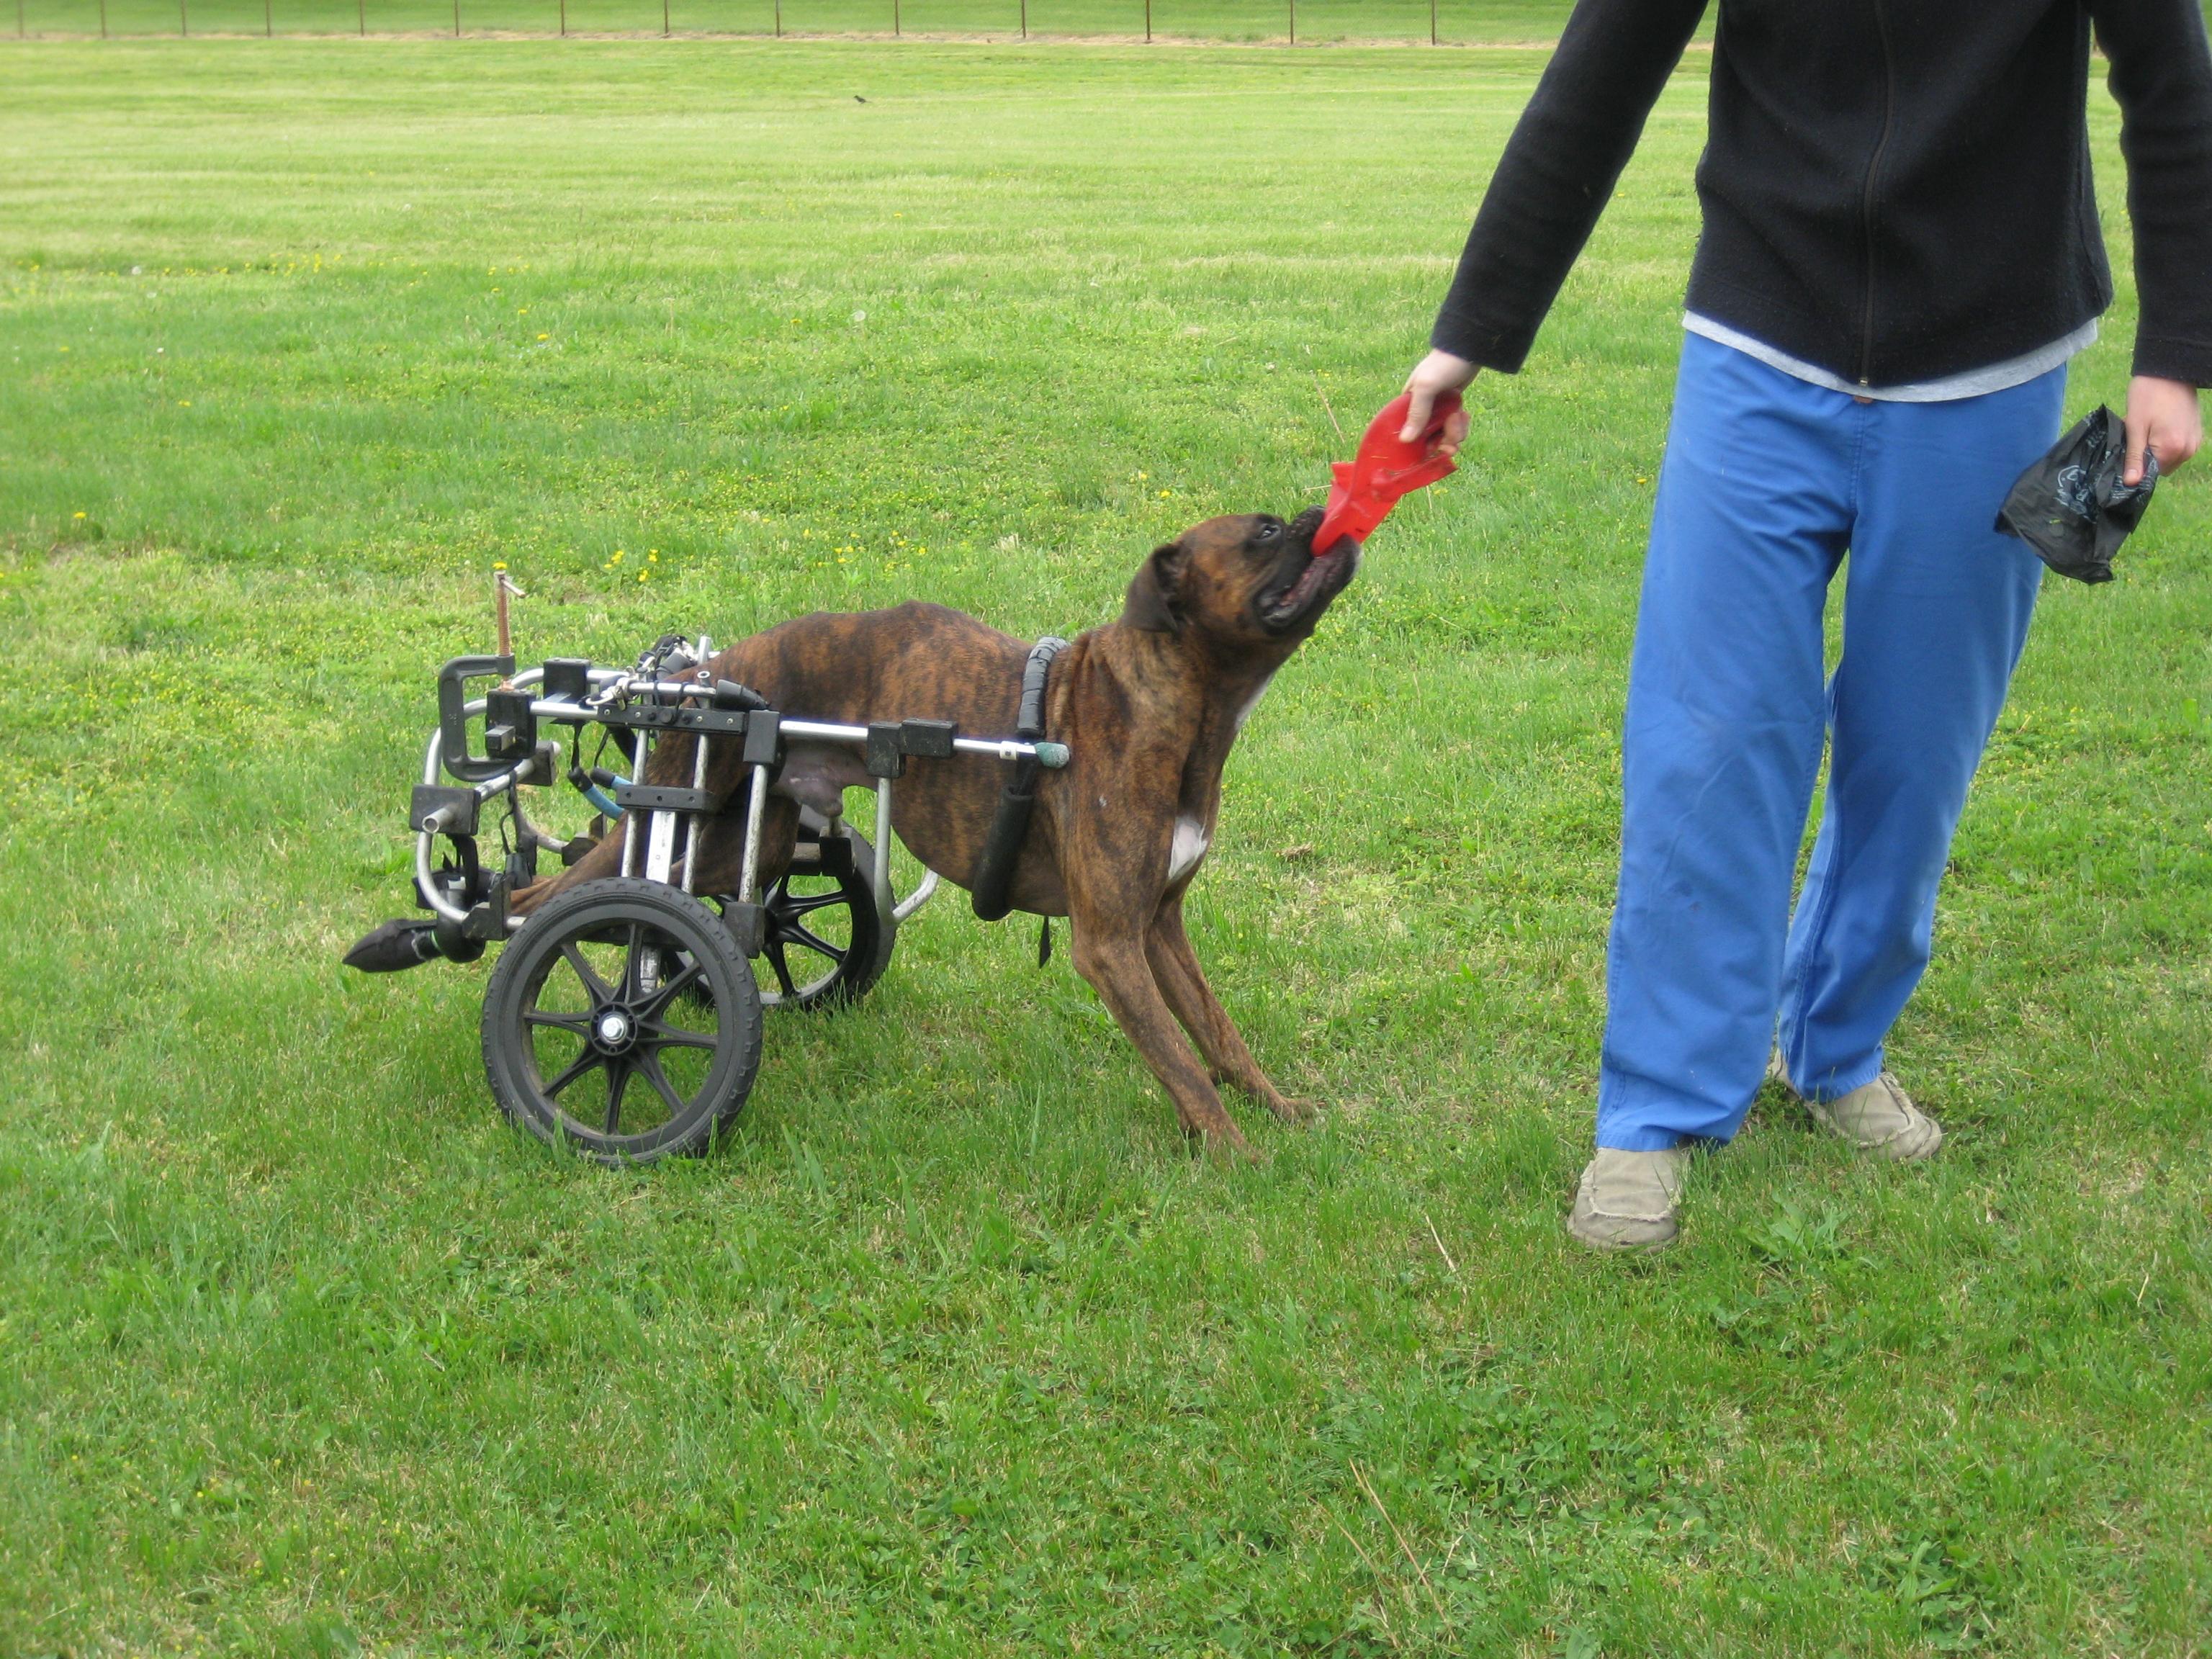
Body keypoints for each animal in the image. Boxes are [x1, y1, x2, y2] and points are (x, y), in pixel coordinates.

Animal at [511, 506, 1354, 1159]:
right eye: (1265, 532)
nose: (1323, 513)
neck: (1180, 706)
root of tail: (690, 679)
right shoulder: (1112, 945)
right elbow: (1178, 1059)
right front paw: (1237, 1157)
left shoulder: (1158, 927)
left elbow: (1215, 1033)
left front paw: (1277, 1112)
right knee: (558, 900)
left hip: (734, 844)